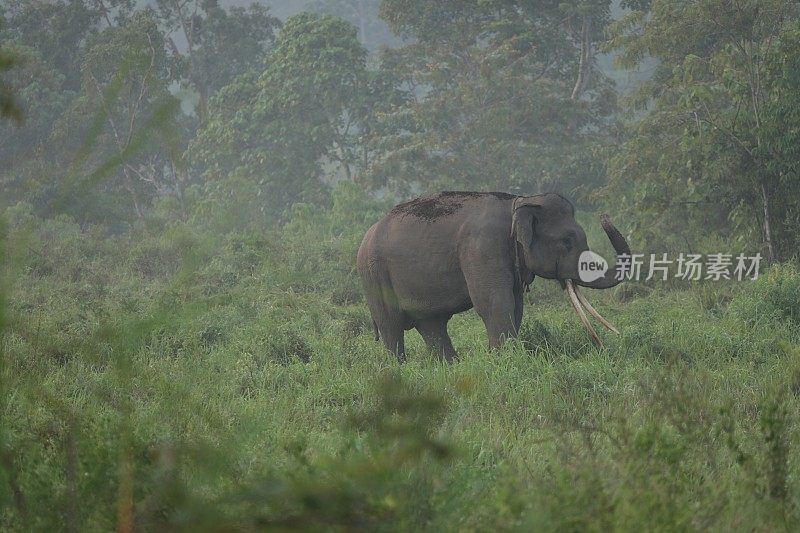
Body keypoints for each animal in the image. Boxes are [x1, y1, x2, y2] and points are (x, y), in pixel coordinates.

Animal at [358, 191, 632, 362]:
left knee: (432, 324)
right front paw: (504, 359)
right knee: (391, 326)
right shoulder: (482, 247)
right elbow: (495, 303)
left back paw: (449, 366)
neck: (518, 203)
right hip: (373, 275)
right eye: (567, 241)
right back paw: (398, 369)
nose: (604, 216)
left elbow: (517, 306)